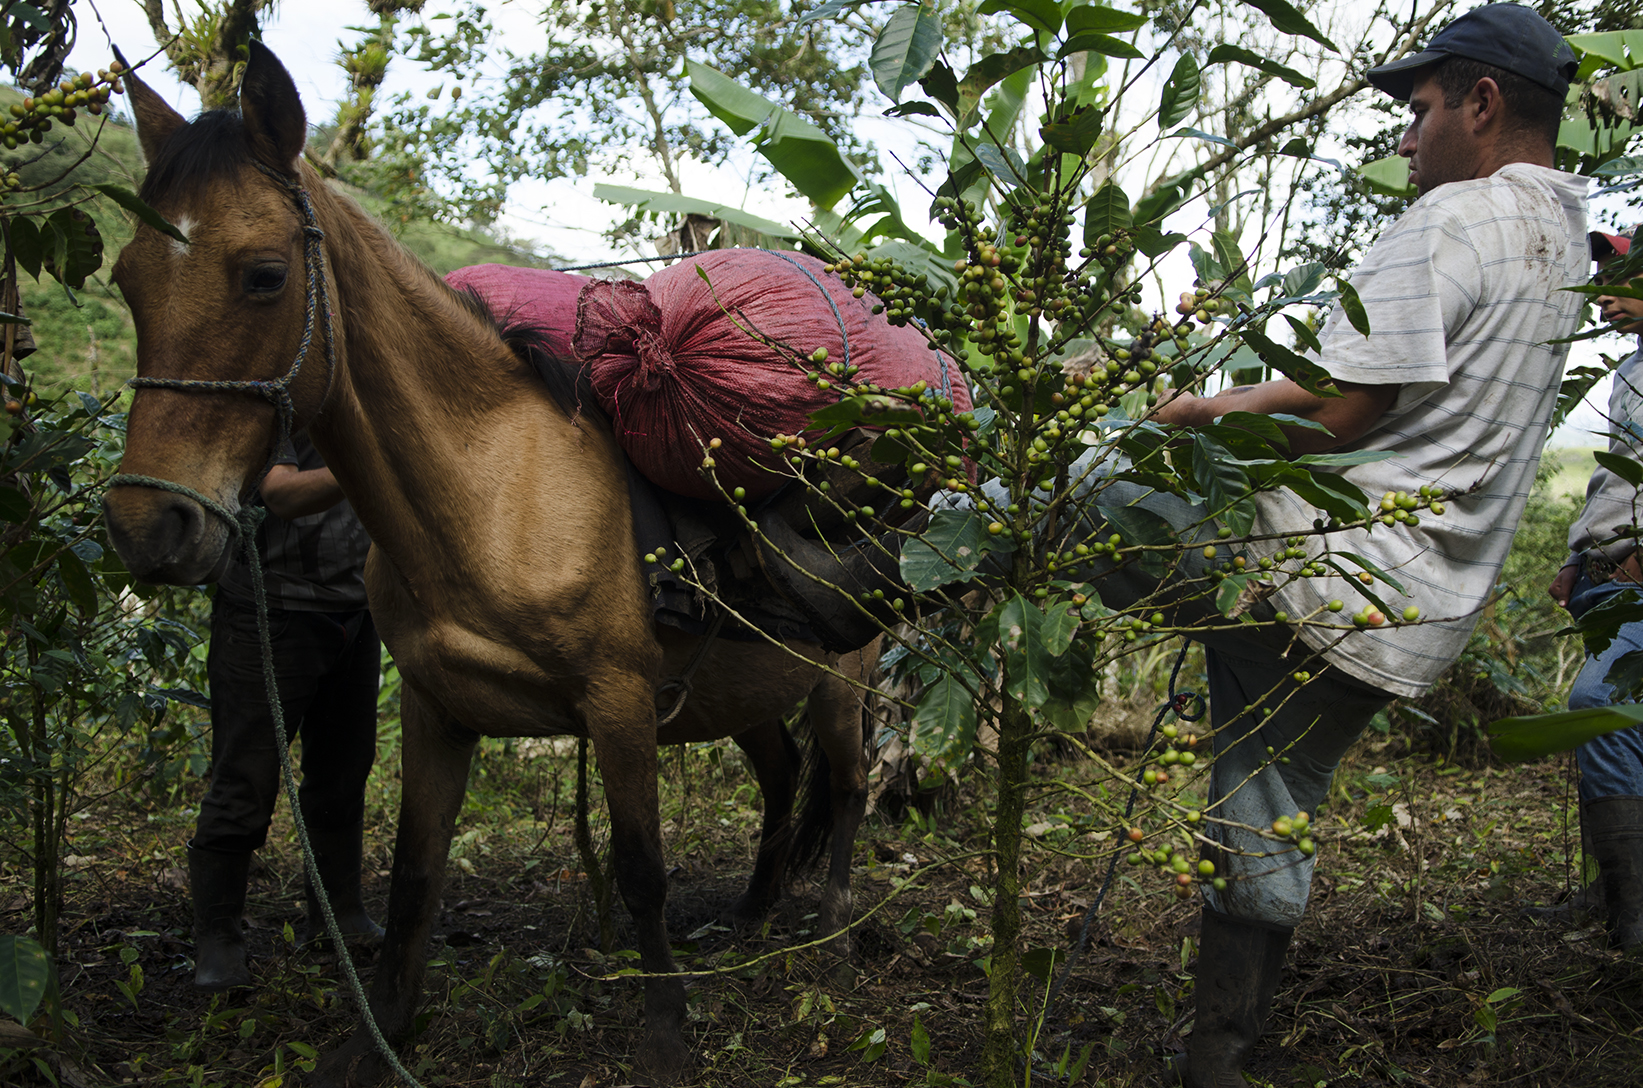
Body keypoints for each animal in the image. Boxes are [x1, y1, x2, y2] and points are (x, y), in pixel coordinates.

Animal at [99, 42, 874, 1088]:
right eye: (127, 279)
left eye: (263, 276)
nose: (149, 525)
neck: (496, 492)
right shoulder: (438, 708)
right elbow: (414, 874)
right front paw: (379, 1036)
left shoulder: (619, 703)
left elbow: (641, 871)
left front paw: (666, 1037)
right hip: (743, 688)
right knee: (784, 772)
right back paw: (751, 914)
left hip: (843, 681)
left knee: (848, 785)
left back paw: (832, 925)